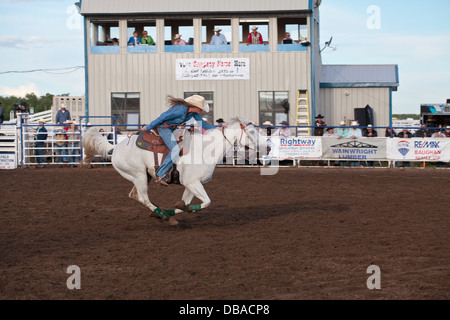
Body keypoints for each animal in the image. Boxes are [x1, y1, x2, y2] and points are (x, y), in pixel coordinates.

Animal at [82, 117, 268, 225]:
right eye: (252, 131)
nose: (267, 146)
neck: (204, 149)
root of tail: (115, 148)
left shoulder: (191, 185)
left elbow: (183, 204)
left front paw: (174, 210)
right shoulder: (193, 183)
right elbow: (206, 202)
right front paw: (172, 213)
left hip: (144, 176)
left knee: (134, 196)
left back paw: (161, 213)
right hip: (139, 175)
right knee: (143, 198)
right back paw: (164, 216)